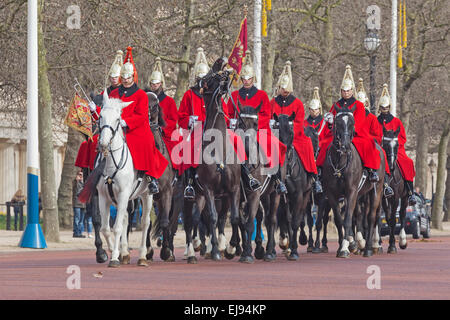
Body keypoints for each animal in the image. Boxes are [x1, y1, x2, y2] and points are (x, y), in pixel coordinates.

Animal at [96, 90, 153, 268]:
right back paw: (126, 253)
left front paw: (114, 257)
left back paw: (142, 256)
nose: (103, 143)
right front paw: (113, 250)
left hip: (147, 195)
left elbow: (117, 228)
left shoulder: (122, 195)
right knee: (127, 219)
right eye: (101, 116)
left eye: (117, 118)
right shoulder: (103, 197)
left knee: (145, 222)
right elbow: (106, 228)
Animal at [322, 107, 384, 258]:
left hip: (376, 191)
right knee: (361, 216)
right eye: (337, 123)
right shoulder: (332, 194)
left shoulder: (351, 192)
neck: (340, 162)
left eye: (352, 123)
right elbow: (339, 220)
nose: (345, 146)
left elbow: (348, 219)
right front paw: (345, 245)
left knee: (371, 217)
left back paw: (368, 248)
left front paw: (345, 247)